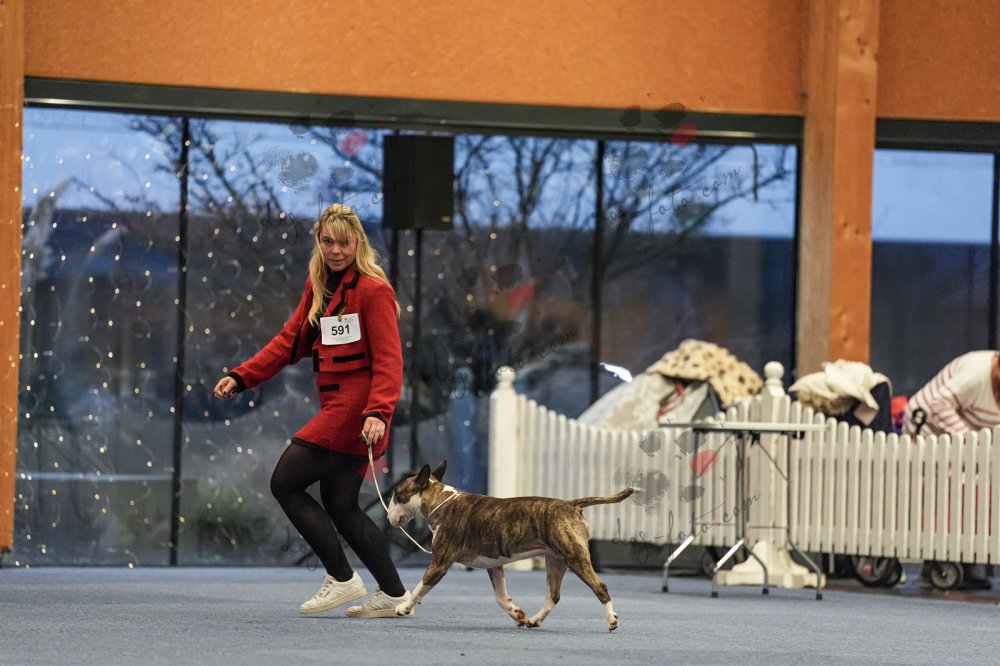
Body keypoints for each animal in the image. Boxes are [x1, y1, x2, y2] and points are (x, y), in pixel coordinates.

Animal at [386, 460, 635, 631]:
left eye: (397, 494)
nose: (388, 517)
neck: (441, 501)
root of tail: (572, 505)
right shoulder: (493, 564)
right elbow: (501, 596)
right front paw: (517, 614)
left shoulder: (440, 562)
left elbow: (421, 586)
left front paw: (403, 607)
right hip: (555, 560)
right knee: (553, 595)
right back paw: (534, 620)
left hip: (575, 557)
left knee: (600, 587)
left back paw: (612, 620)